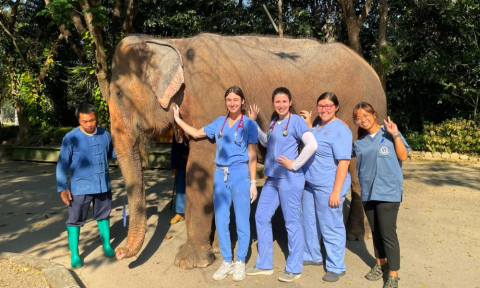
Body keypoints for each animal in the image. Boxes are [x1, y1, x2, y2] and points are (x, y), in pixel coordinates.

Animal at [107, 32, 384, 268]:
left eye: (119, 94)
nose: (119, 253)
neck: (173, 43)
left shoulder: (210, 99)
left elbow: (200, 167)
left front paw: (189, 263)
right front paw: (216, 250)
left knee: (356, 169)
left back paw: (357, 237)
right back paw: (358, 235)